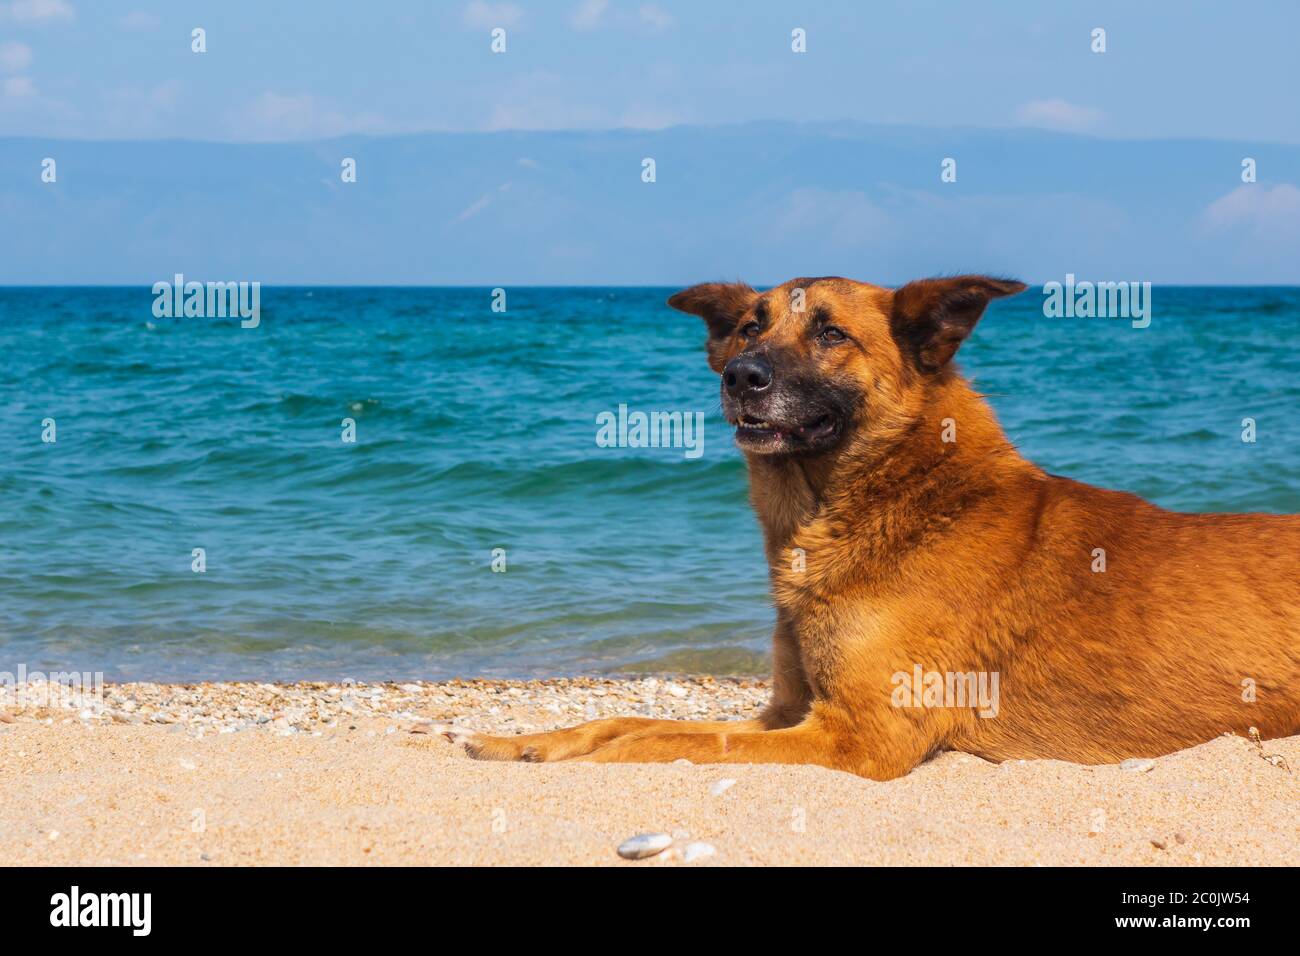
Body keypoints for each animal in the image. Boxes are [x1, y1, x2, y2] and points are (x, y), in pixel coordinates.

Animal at [447, 274, 1300, 780]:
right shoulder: (784, 712)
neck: (897, 498)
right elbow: (627, 716)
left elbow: (660, 738)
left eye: (830, 334)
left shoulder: (855, 735)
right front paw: (530, 740)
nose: (740, 376)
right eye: (749, 327)